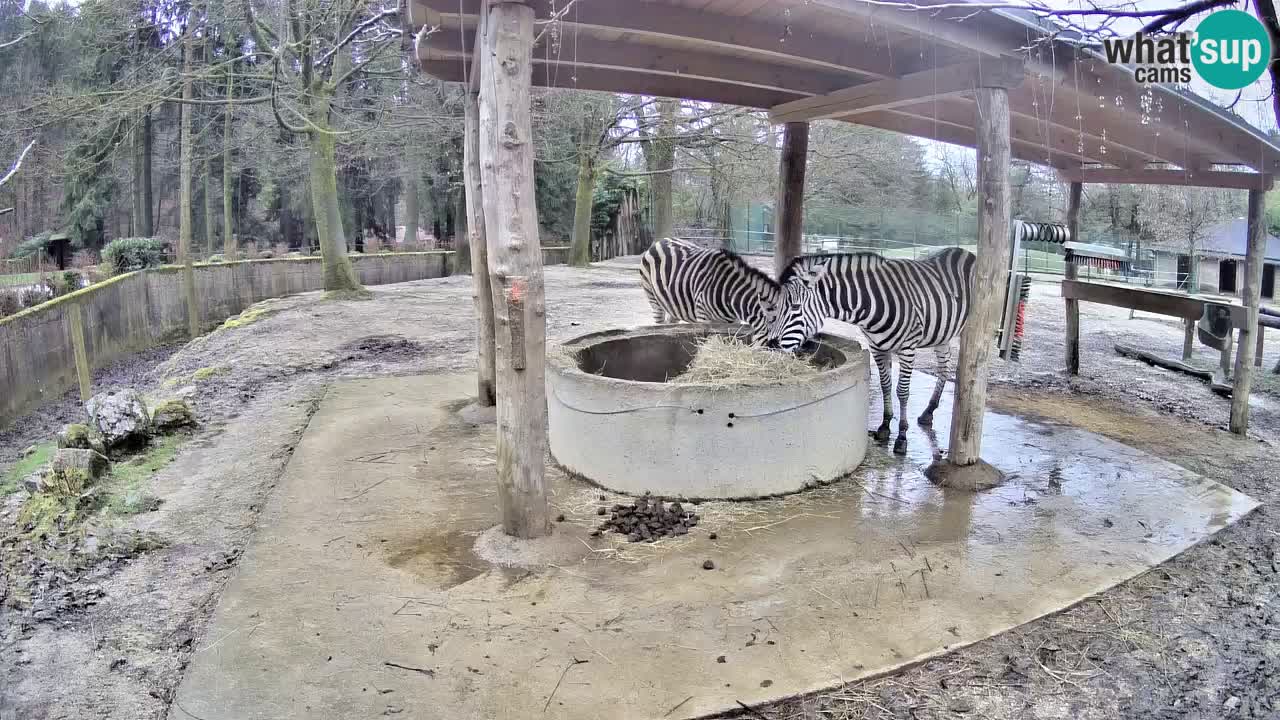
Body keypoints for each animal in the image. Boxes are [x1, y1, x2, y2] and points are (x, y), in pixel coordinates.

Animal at [637, 237, 814, 348]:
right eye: (776, 341)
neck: (730, 293)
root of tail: (660, 241)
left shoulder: (732, 321)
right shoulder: (703, 318)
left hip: (674, 304)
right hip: (653, 299)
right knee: (659, 323)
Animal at [773, 243, 972, 450]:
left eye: (795, 307)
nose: (771, 344)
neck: (871, 305)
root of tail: (963, 251)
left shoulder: (908, 348)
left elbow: (902, 391)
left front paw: (902, 437)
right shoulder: (877, 347)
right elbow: (886, 385)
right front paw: (884, 427)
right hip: (942, 335)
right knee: (944, 369)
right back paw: (928, 412)